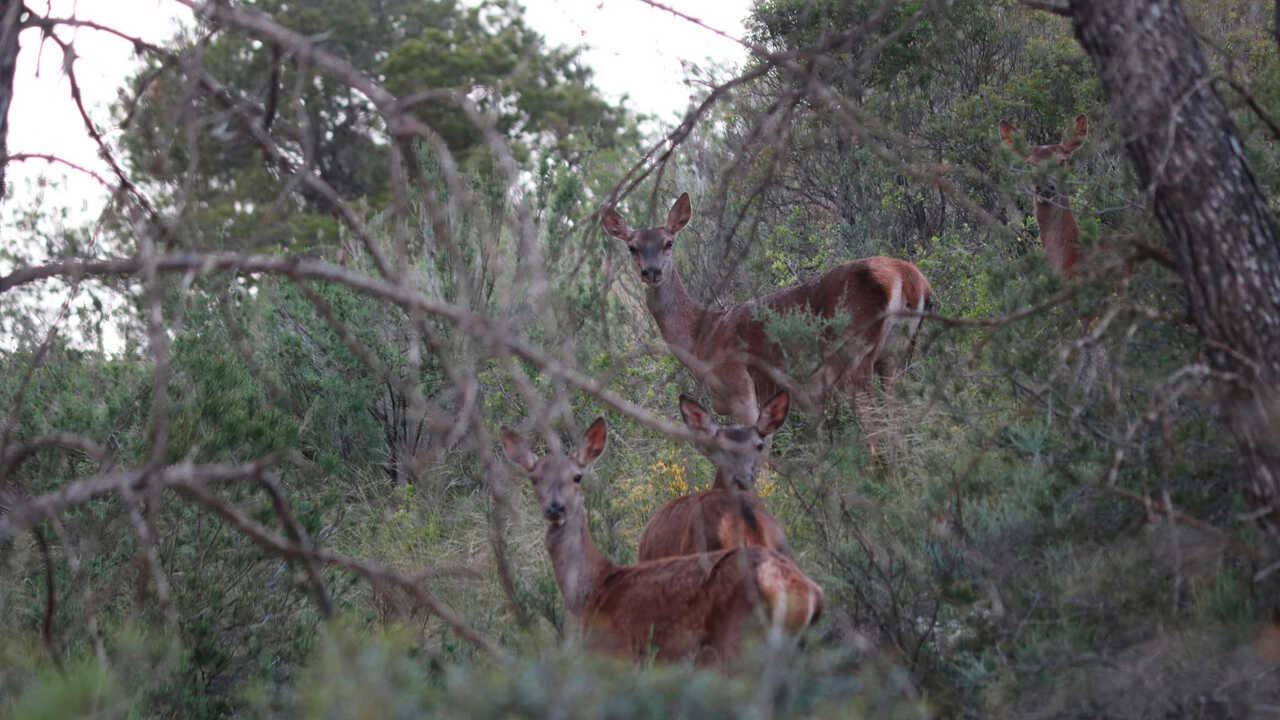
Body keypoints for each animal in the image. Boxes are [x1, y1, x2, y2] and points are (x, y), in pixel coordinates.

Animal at [501, 416, 823, 665]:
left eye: (577, 477)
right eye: (534, 479)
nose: (555, 508)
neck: (594, 591)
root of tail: (807, 593)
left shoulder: (617, 652)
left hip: (738, 641)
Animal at [602, 193, 931, 437]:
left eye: (668, 242)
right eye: (632, 247)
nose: (651, 272)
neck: (701, 337)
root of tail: (909, 278)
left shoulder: (740, 388)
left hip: (855, 354)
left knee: (879, 428)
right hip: (897, 355)